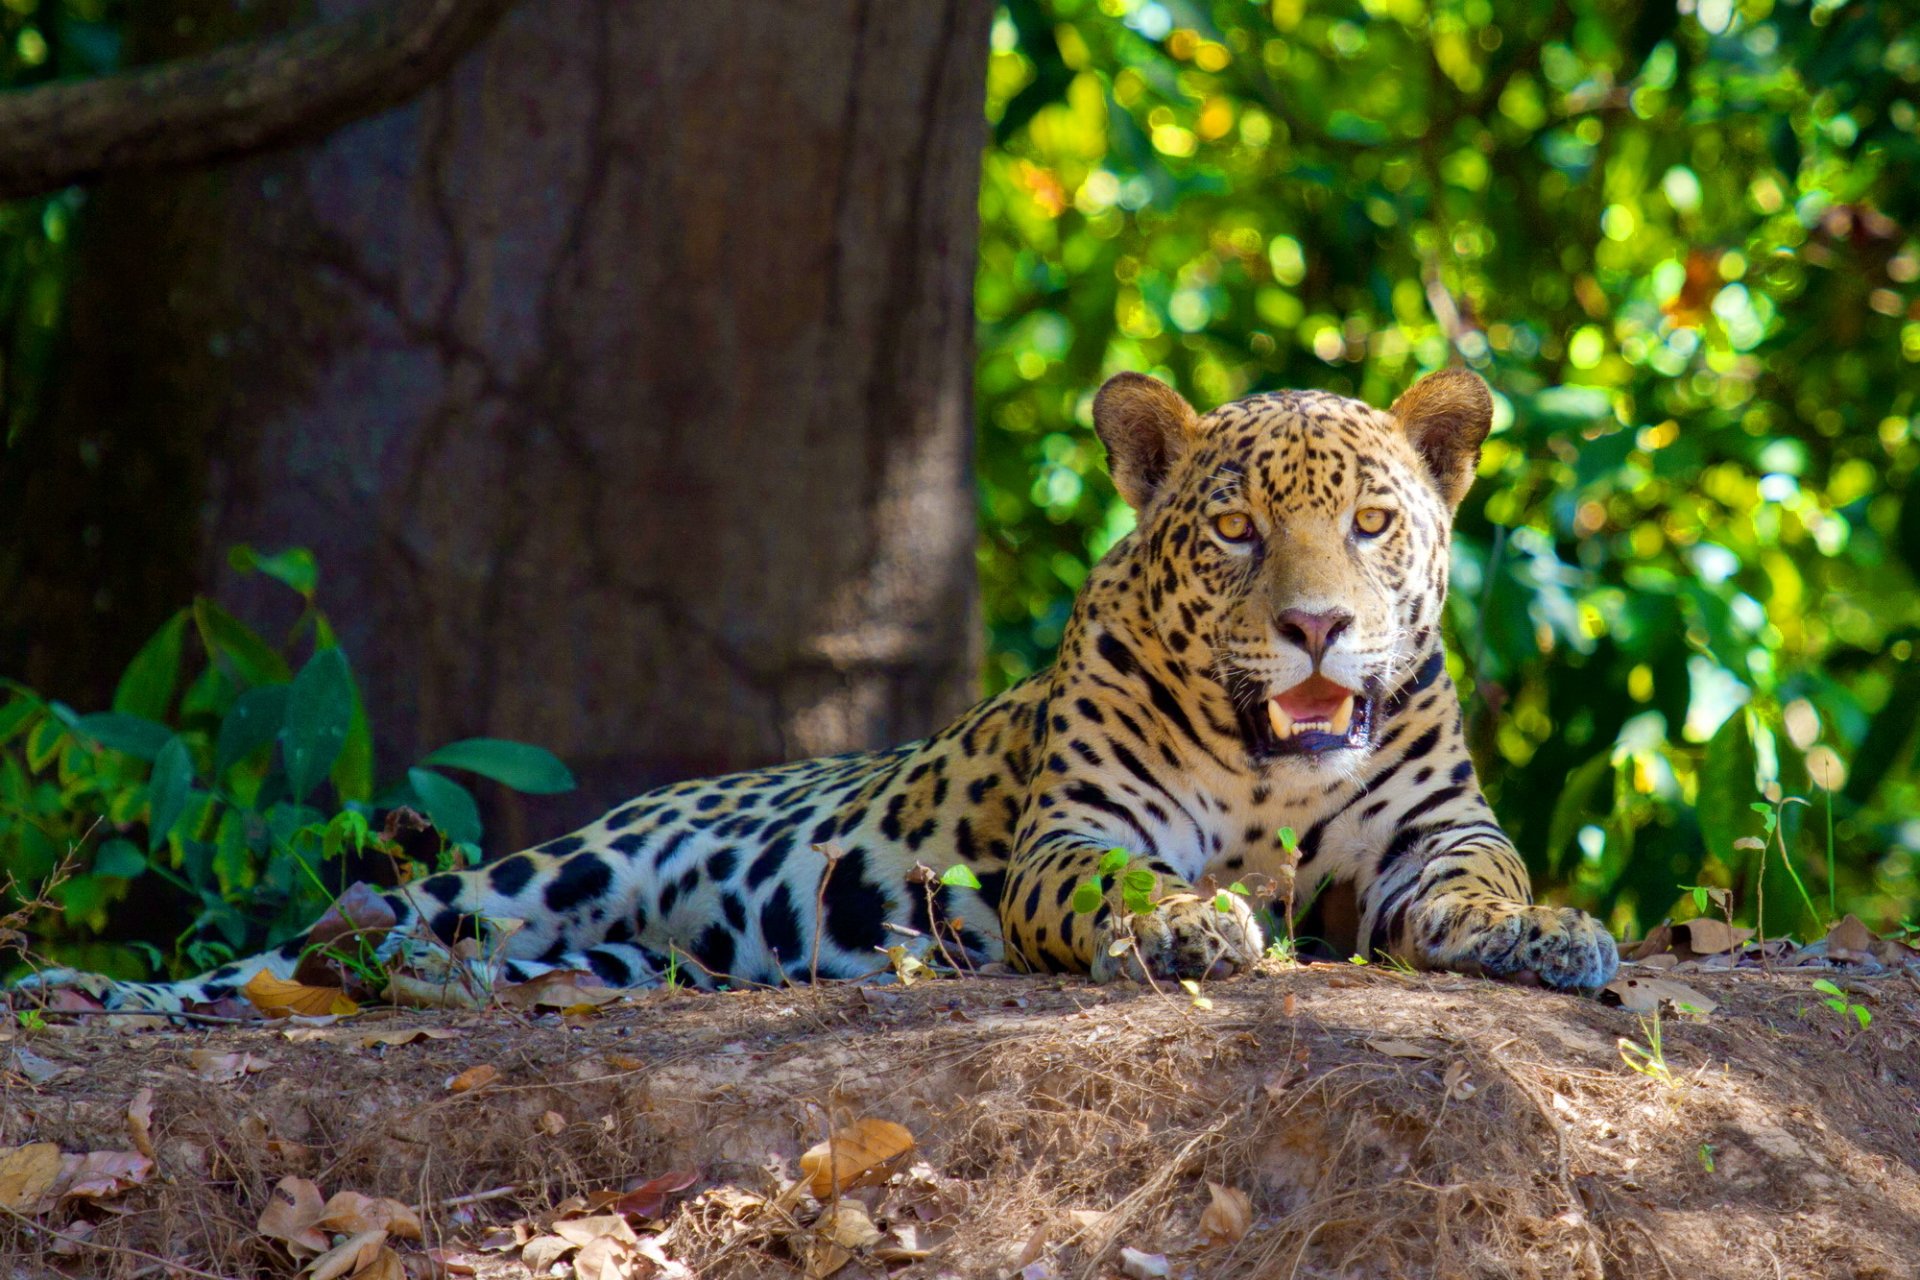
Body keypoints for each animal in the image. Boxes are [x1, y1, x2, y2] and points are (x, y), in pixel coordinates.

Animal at [15, 368, 1618, 1014]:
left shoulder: (1434, 830)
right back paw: (92, 993)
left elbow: (1485, 879)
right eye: (1234, 530)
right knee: (287, 952)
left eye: (1373, 522)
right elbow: (1118, 885)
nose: (1316, 627)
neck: (1276, 765)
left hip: (614, 960)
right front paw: (1185, 925)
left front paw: (1547, 936)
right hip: (531, 871)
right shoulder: (1069, 835)